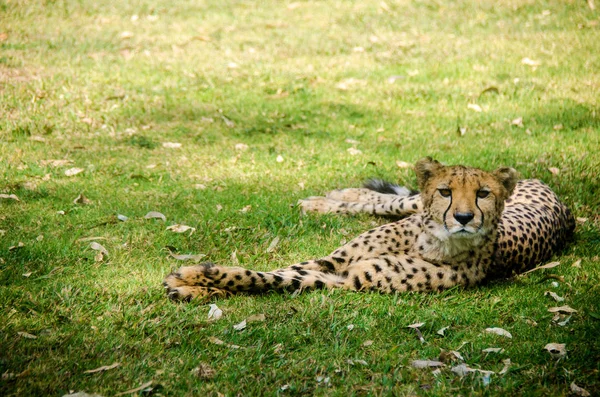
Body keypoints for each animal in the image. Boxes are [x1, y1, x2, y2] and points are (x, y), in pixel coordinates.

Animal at [162, 156, 576, 298]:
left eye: (483, 194)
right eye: (446, 192)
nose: (463, 218)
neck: (431, 242)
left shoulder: (346, 279)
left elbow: (273, 279)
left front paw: (194, 284)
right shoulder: (331, 262)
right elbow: (273, 270)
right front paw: (194, 279)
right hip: (408, 204)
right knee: (387, 200)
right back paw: (326, 199)